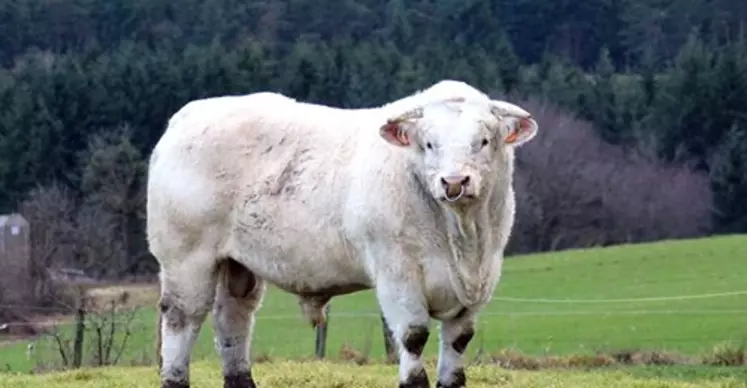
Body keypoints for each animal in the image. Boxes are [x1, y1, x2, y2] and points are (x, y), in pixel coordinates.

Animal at [146, 79, 540, 388]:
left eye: (484, 141)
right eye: (429, 144)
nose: (455, 182)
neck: (463, 240)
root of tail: (189, 115)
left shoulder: (481, 280)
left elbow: (459, 343)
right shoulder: (397, 272)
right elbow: (413, 337)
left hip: (238, 265)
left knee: (234, 321)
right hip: (186, 257)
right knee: (182, 319)